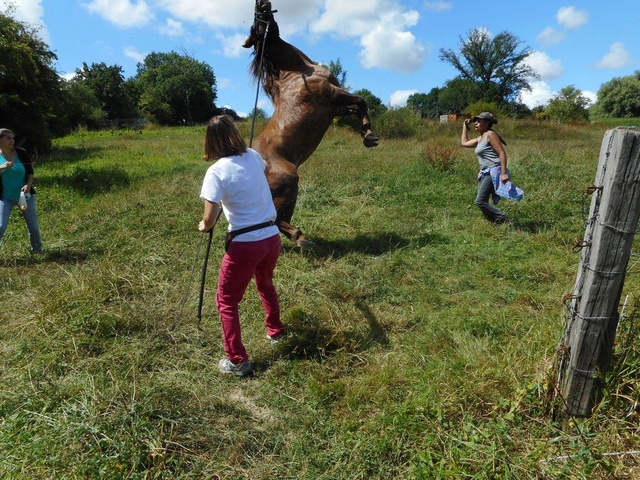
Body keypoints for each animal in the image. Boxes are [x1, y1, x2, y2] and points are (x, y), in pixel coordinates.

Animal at [244, 0, 376, 248]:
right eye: (256, 21)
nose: (262, 2)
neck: (297, 73)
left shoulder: (334, 107)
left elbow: (356, 109)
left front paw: (367, 135)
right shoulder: (332, 95)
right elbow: (361, 101)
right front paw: (370, 136)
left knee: (279, 219)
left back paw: (302, 239)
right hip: (288, 182)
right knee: (275, 219)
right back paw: (301, 238)